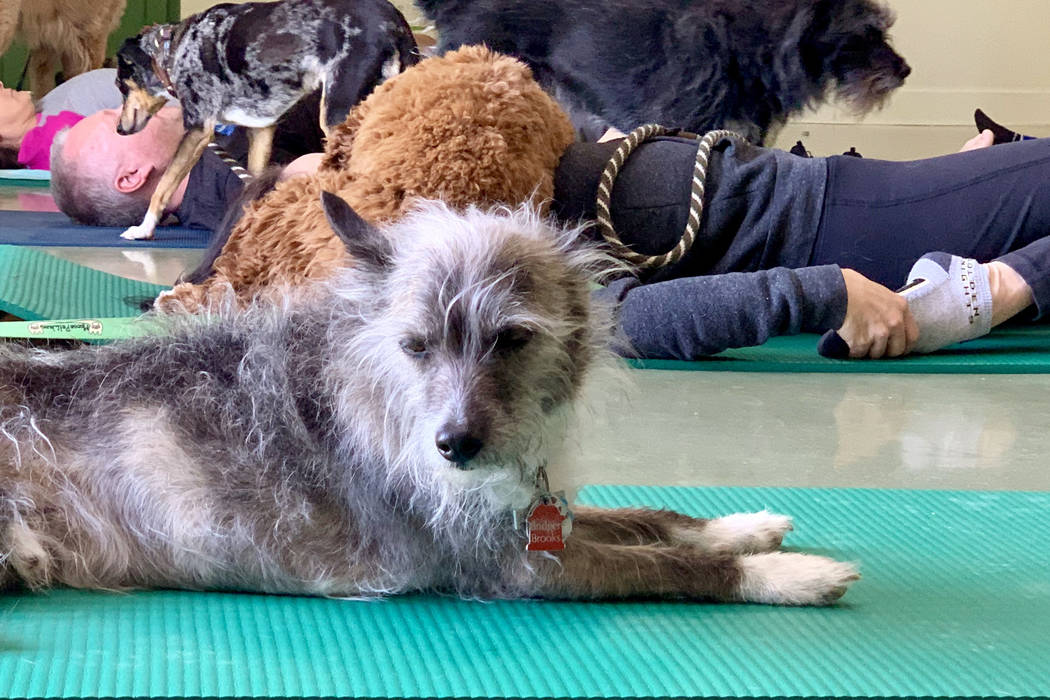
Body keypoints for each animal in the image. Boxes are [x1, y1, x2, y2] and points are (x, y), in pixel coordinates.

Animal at [0, 194, 856, 604]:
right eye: (415, 346)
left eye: (512, 339)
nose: (454, 447)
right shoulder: (516, 567)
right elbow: (668, 567)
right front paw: (790, 576)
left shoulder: (529, 514)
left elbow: (646, 519)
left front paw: (740, 528)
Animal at [117, 0, 419, 241]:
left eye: (121, 85)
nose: (119, 129)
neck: (173, 49)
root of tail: (394, 21)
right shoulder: (260, 131)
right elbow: (251, 184)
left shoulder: (197, 129)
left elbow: (163, 186)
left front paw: (143, 229)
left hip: (337, 115)